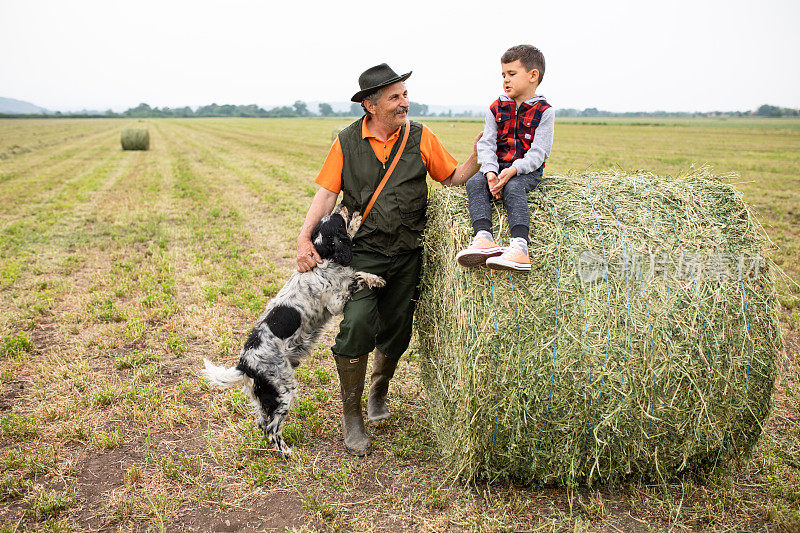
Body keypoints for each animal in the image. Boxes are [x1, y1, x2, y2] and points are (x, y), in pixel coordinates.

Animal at [203, 206, 384, 456]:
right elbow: (356, 278)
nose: (342, 206)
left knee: (262, 423)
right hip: (283, 389)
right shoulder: (336, 302)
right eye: (337, 220)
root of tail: (244, 363)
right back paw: (288, 453)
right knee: (272, 428)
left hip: (267, 395)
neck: (325, 259)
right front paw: (375, 278)